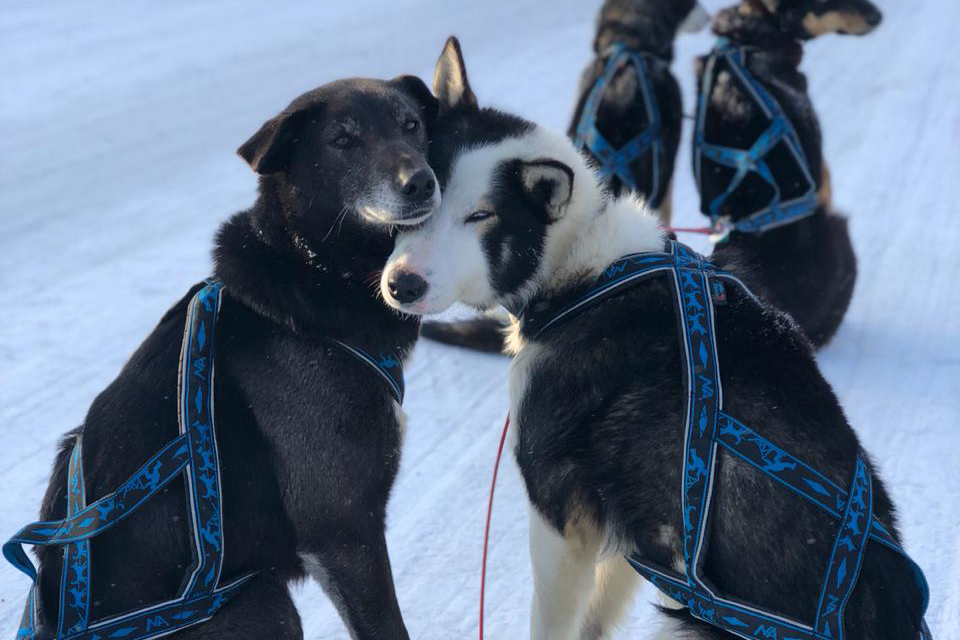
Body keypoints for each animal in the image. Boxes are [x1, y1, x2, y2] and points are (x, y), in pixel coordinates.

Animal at [17, 76, 436, 640]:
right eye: (342, 140)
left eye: (410, 124)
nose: (422, 182)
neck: (315, 267)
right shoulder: (344, 530)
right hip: (265, 601)